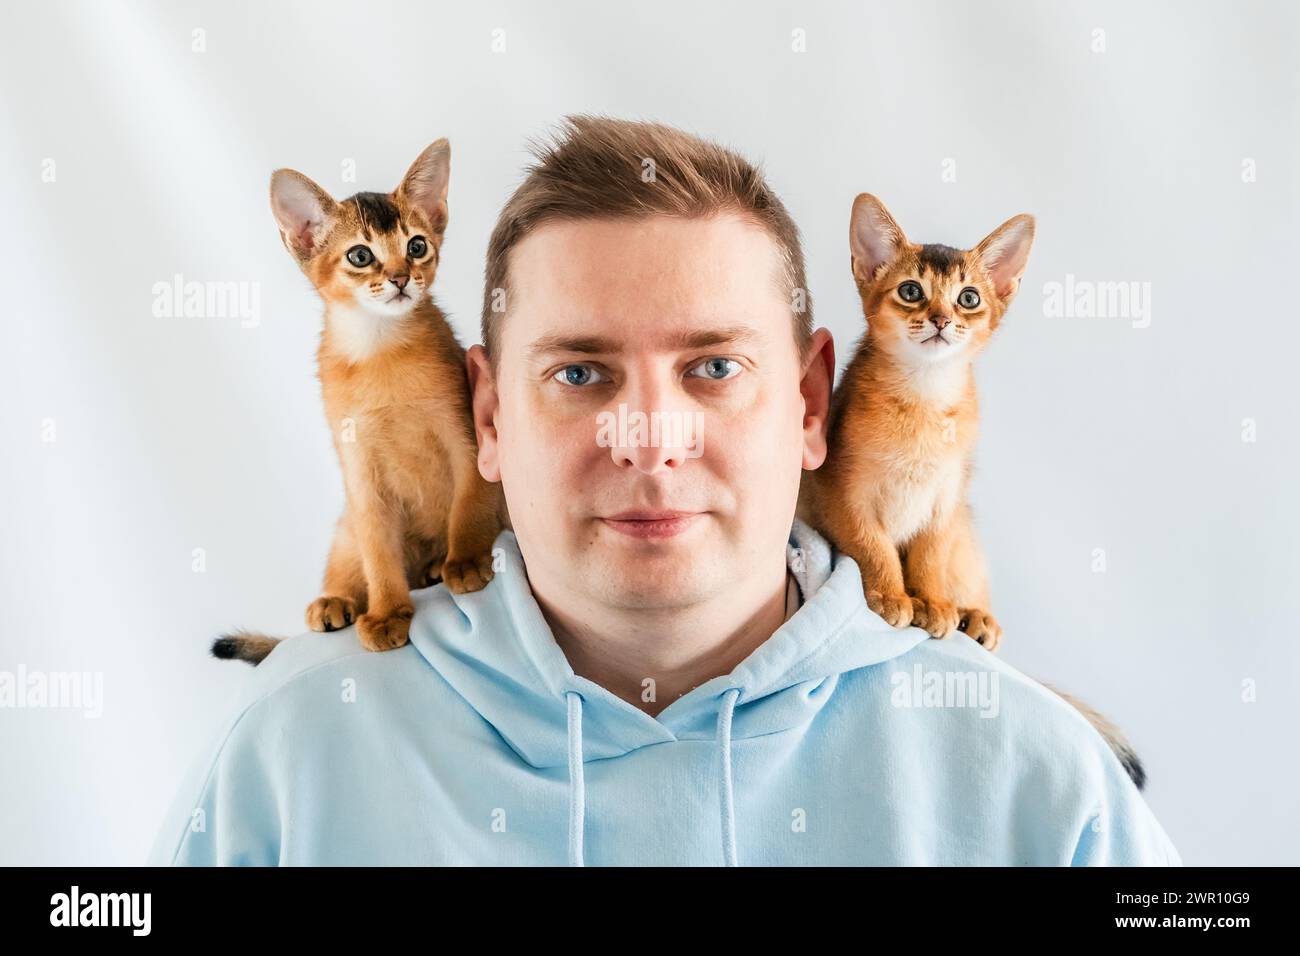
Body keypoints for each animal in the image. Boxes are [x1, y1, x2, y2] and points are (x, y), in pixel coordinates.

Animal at [210, 140, 499, 665]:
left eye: (417, 246)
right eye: (361, 255)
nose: (402, 278)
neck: (379, 349)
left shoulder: (465, 437)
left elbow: (469, 503)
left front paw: (466, 560)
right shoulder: (360, 470)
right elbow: (378, 554)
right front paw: (386, 614)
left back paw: (436, 567)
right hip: (346, 523)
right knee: (351, 559)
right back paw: (335, 600)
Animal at [790, 195, 1034, 658]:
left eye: (968, 298)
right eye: (910, 291)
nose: (940, 319)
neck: (924, 401)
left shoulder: (946, 500)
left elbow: (931, 556)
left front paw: (933, 601)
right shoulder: (845, 492)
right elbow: (874, 547)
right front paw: (891, 595)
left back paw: (974, 615)